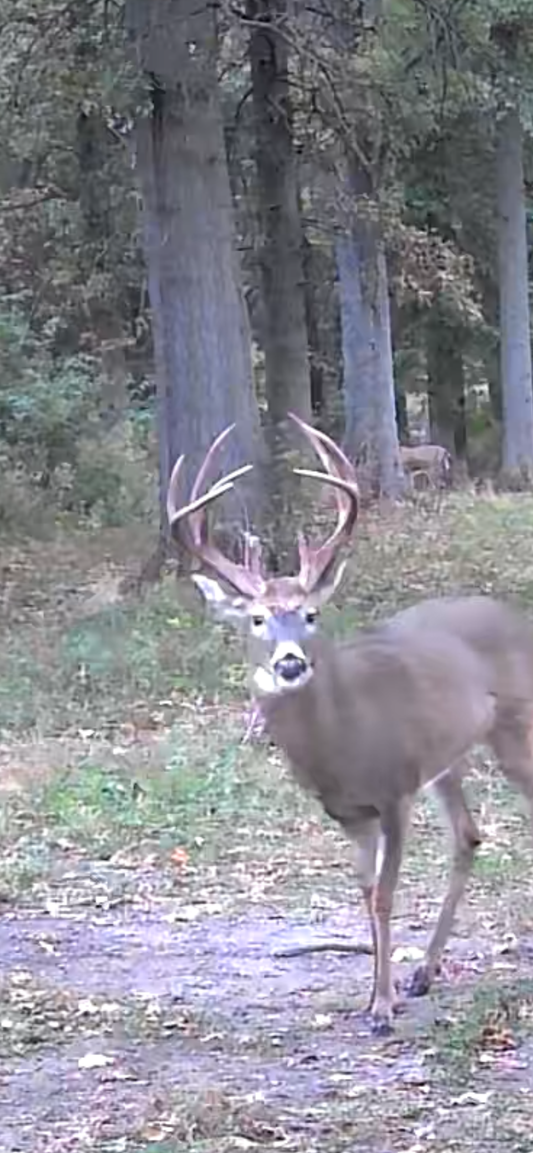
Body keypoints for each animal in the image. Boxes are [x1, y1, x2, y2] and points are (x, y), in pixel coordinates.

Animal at [167, 415, 533, 1034]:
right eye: (257, 618)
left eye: (311, 613)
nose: (290, 662)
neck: (344, 745)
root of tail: (515, 616)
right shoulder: (349, 814)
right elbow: (364, 894)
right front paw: (379, 995)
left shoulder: (395, 792)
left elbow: (384, 894)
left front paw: (382, 1009)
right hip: (448, 757)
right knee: (468, 835)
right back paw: (425, 972)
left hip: (515, 730)